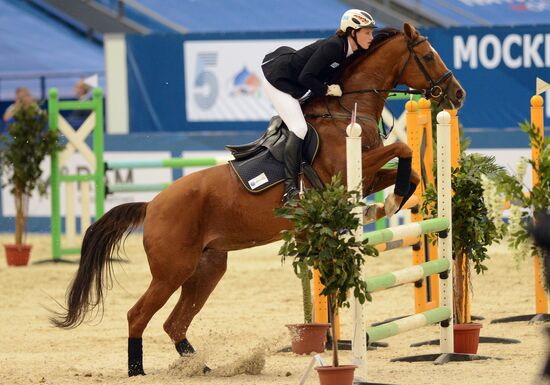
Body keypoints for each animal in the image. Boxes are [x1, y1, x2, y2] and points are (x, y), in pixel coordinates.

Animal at [50, 22, 466, 374]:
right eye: (428, 56)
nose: (457, 94)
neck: (346, 108)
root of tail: (152, 205)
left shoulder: (366, 176)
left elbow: (409, 170)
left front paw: (386, 203)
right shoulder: (350, 170)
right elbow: (402, 148)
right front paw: (387, 204)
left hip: (207, 268)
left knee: (174, 322)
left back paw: (200, 366)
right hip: (172, 269)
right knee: (138, 315)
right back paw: (137, 369)